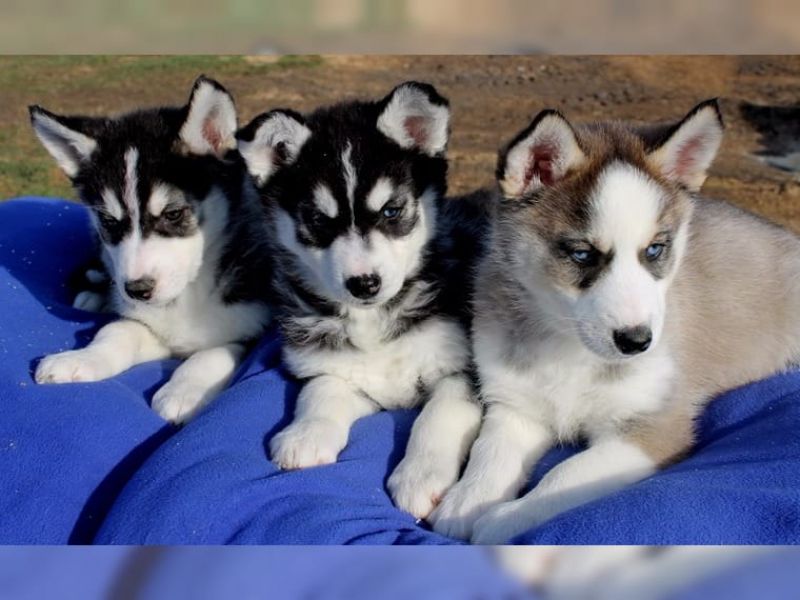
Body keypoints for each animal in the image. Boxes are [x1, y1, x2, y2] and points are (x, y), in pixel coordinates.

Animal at [30, 76, 272, 423]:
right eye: (109, 222)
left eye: (173, 214)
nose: (137, 290)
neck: (189, 295)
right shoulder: (148, 324)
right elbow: (117, 332)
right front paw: (78, 359)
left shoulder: (255, 327)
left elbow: (214, 353)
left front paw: (185, 390)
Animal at [237, 81, 488, 519]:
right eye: (318, 220)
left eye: (392, 211)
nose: (364, 284)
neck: (374, 321)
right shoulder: (338, 370)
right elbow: (321, 389)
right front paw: (305, 435)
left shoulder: (463, 372)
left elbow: (439, 413)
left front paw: (421, 476)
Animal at [430, 99, 800, 543]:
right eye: (582, 254)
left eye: (655, 250)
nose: (637, 342)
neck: (568, 347)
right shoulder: (516, 407)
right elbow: (490, 454)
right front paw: (466, 501)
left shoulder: (652, 428)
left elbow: (565, 473)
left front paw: (502, 519)